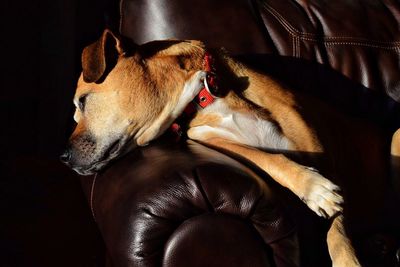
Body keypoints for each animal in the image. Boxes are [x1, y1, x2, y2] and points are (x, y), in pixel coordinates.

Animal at [62, 29, 400, 267]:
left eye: (83, 102)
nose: (63, 157)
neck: (204, 96)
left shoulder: (320, 152)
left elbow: (337, 231)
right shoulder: (219, 141)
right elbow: (268, 158)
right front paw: (310, 185)